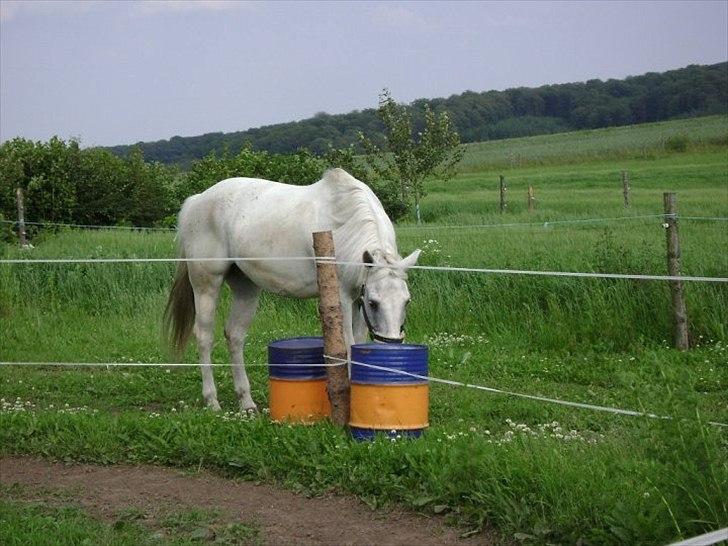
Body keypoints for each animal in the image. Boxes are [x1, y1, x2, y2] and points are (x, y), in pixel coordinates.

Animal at [162, 168, 418, 410]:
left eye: (406, 301)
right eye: (374, 303)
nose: (390, 346)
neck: (346, 224)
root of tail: (197, 201)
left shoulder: (358, 298)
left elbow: (358, 342)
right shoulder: (344, 300)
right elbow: (346, 345)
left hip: (246, 288)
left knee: (234, 335)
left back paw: (246, 401)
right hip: (206, 285)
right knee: (204, 337)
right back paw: (212, 400)